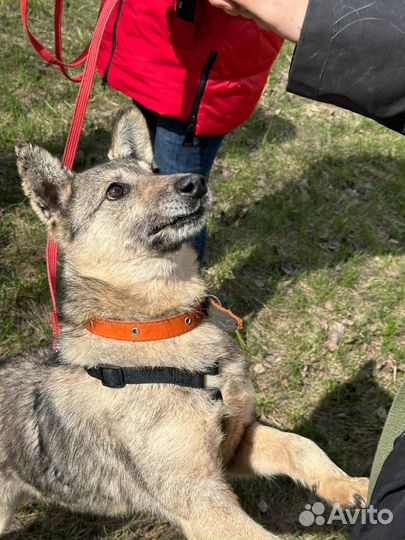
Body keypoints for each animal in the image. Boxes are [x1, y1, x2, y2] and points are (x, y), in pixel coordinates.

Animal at [0, 107, 366, 536]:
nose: (195, 182)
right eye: (115, 191)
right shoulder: (201, 499)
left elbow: (300, 444)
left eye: (156, 169)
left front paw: (345, 484)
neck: (155, 329)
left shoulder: (235, 444)